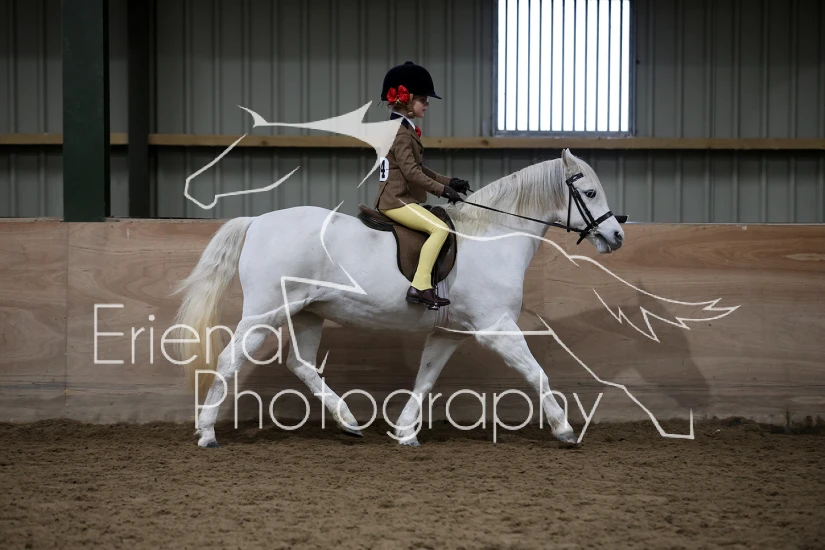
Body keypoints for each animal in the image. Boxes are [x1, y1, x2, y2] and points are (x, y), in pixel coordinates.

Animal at [172, 148, 625, 448]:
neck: (493, 235)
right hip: (266, 311)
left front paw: (404, 432)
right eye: (588, 193)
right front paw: (565, 430)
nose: (617, 235)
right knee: (230, 360)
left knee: (300, 364)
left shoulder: (451, 332)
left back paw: (349, 421)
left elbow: (425, 379)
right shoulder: (495, 327)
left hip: (307, 312)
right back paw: (207, 432)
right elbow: (537, 375)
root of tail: (257, 222)